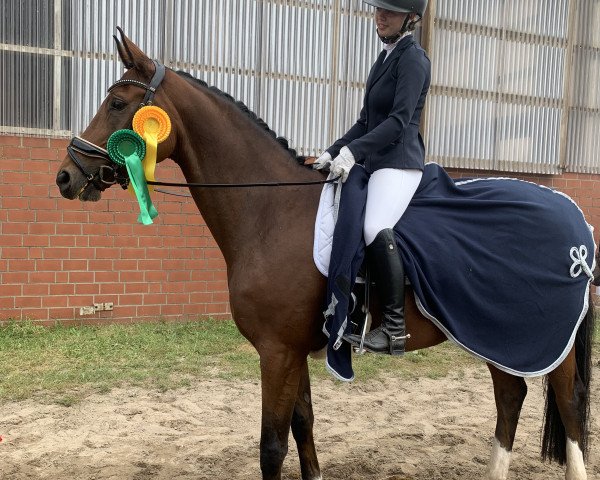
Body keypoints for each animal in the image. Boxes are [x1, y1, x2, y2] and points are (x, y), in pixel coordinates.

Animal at [57, 31, 596, 480]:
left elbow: (272, 447)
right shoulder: (292, 350)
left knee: (568, 407)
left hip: (544, 337)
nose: (67, 176)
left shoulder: (276, 352)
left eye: (118, 102)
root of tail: (575, 221)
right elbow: (304, 428)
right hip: (497, 333)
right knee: (511, 396)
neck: (270, 211)